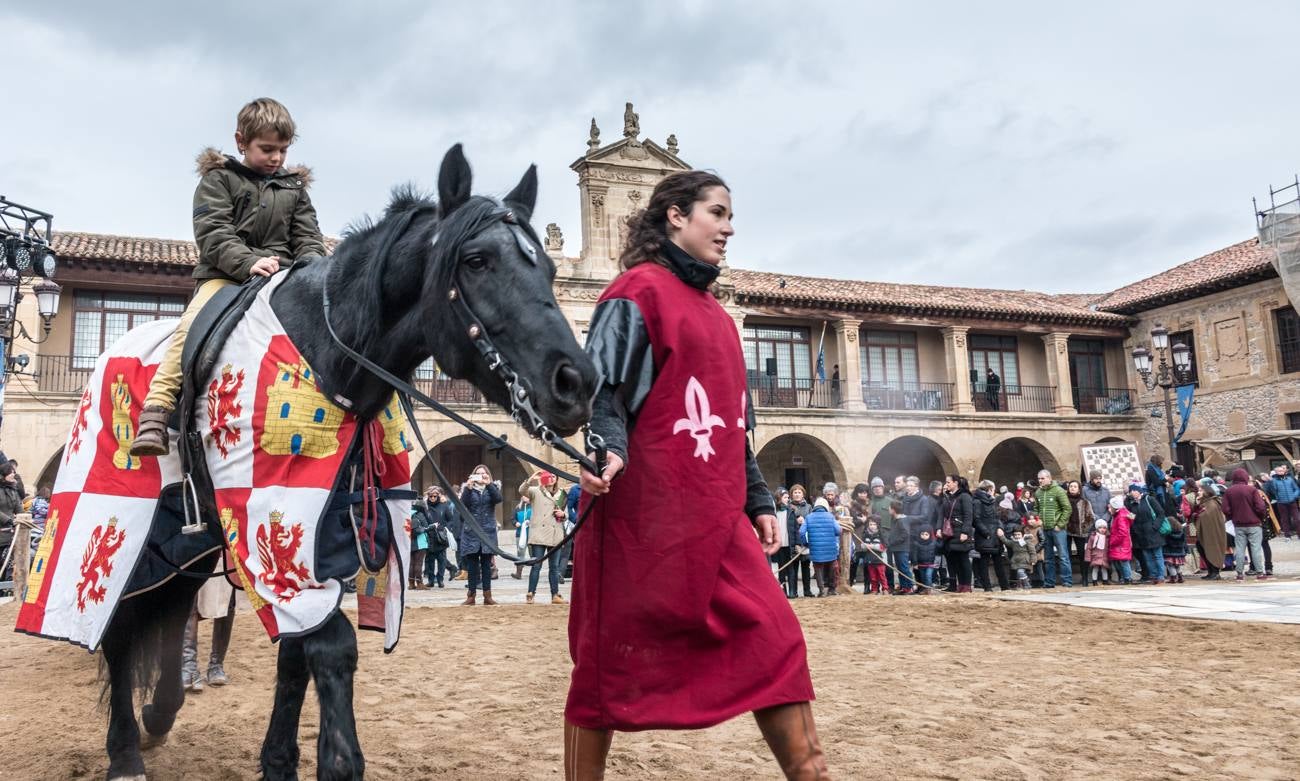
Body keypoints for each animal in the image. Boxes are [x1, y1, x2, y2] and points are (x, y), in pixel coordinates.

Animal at [98, 146, 595, 779]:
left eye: (549, 272)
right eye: (478, 260)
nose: (578, 382)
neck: (324, 355)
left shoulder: (323, 536)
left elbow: (296, 652)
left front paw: (279, 759)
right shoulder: (267, 527)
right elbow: (330, 645)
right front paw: (335, 760)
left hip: (191, 537)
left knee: (171, 607)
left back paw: (159, 715)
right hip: (127, 517)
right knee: (121, 622)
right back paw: (125, 751)